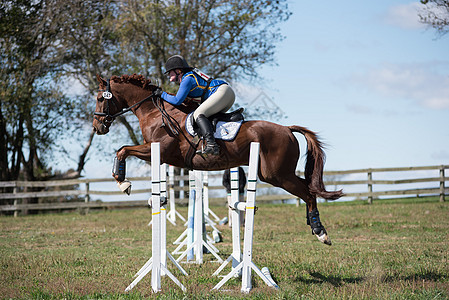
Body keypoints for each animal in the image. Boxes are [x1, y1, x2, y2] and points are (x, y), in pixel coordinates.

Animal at [93, 74, 342, 245]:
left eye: (99, 98)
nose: (97, 127)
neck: (155, 114)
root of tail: (288, 129)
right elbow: (123, 149)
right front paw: (123, 181)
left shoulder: (158, 150)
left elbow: (123, 150)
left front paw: (123, 182)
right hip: (276, 174)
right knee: (308, 189)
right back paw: (313, 225)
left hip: (277, 174)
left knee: (308, 193)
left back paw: (321, 232)